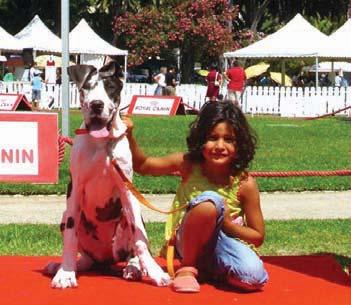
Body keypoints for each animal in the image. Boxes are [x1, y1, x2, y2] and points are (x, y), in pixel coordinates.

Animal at [44, 61, 171, 288]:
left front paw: (155, 272)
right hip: (65, 217)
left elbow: (139, 237)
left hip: (129, 215)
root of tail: (106, 259)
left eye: (111, 88)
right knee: (85, 256)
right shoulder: (75, 189)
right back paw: (62, 265)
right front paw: (65, 273)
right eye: (87, 87)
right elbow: (70, 236)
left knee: (134, 247)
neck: (102, 143)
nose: (97, 105)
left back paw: (134, 268)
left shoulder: (127, 189)